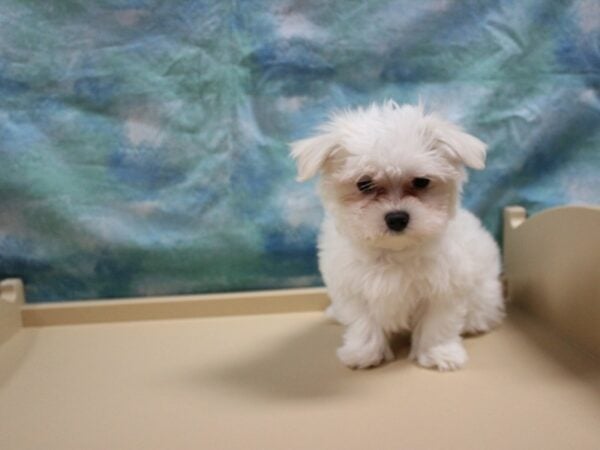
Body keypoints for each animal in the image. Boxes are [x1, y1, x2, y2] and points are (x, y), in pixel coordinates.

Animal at [288, 102, 504, 372]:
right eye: (364, 184)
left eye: (421, 182)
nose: (397, 218)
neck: (393, 251)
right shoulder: (353, 288)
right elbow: (362, 322)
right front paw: (364, 354)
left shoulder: (445, 287)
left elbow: (438, 323)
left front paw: (439, 353)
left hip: (485, 293)